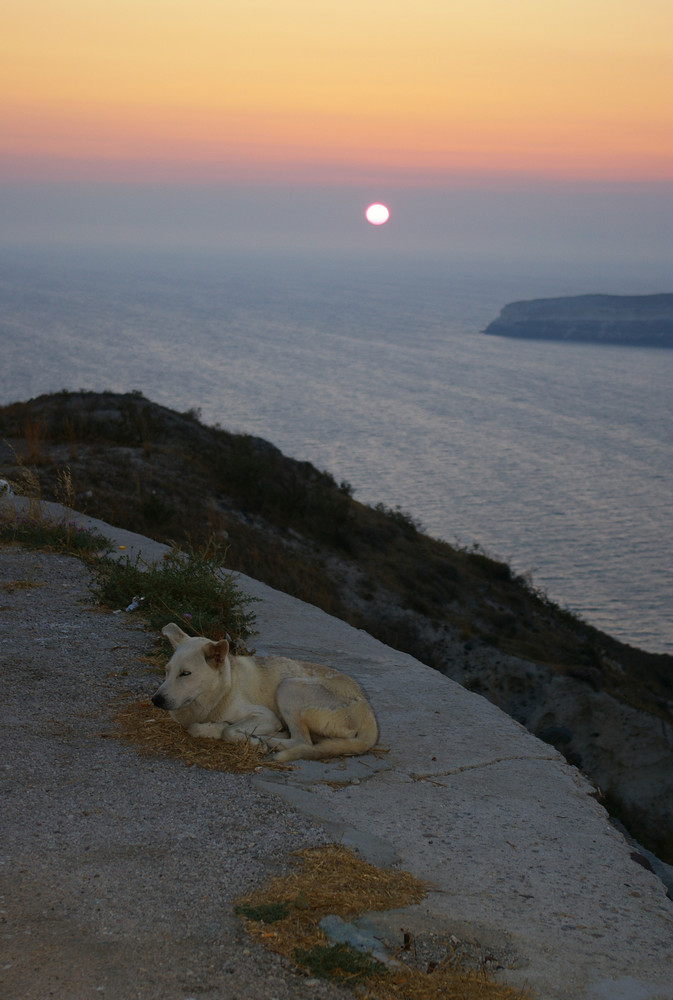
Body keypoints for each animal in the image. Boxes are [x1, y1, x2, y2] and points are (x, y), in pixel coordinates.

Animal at [151, 620, 378, 760]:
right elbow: (199, 727)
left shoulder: (266, 716)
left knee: (303, 742)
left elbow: (227, 731)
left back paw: (268, 742)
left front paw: (254, 741)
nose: (156, 700)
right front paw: (212, 728)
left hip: (288, 687)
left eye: (185, 674)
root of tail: (367, 709)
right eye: (167, 671)